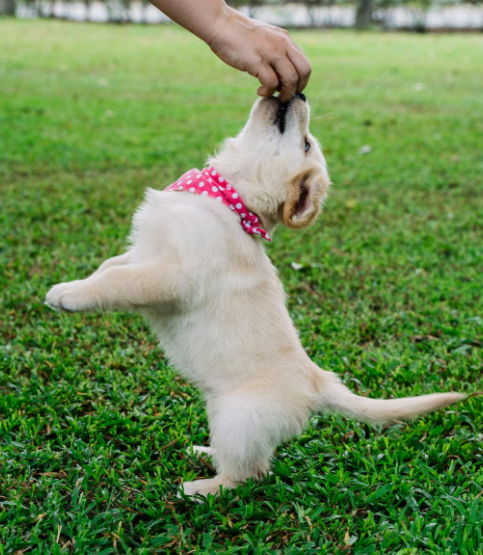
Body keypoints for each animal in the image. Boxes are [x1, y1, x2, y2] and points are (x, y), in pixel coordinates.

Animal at [45, 94, 466, 500]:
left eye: (306, 142)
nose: (301, 92)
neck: (228, 199)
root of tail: (318, 382)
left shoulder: (170, 276)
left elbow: (117, 281)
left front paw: (67, 295)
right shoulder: (143, 253)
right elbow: (110, 266)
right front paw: (78, 281)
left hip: (237, 418)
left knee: (250, 474)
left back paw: (200, 489)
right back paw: (204, 453)